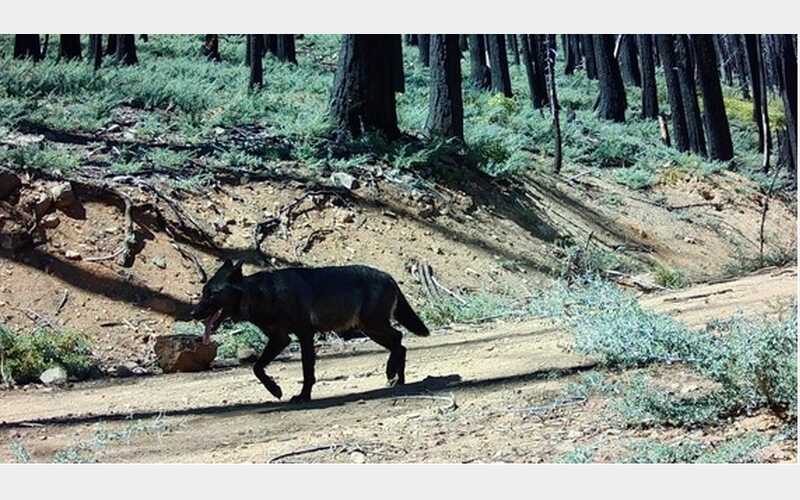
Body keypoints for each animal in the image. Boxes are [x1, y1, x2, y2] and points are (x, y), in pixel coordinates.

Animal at [190, 260, 430, 403]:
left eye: (212, 294)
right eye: (203, 292)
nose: (193, 313)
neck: (262, 294)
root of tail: (389, 276)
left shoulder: (303, 335)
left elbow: (307, 371)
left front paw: (303, 396)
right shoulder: (281, 339)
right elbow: (257, 368)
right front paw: (274, 389)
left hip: (373, 326)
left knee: (399, 340)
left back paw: (392, 374)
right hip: (370, 329)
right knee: (400, 343)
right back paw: (399, 379)